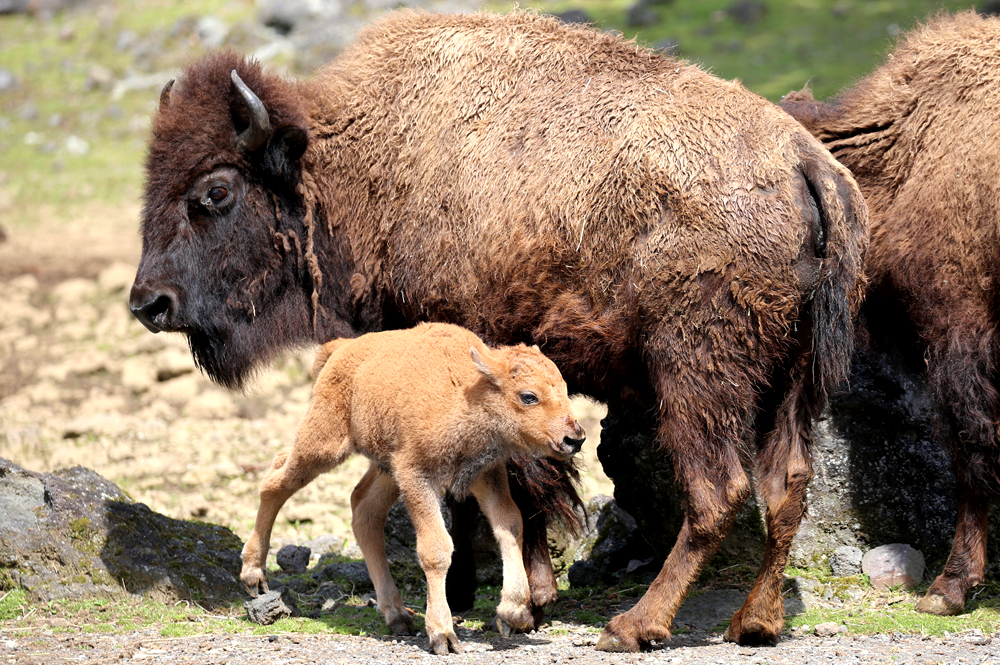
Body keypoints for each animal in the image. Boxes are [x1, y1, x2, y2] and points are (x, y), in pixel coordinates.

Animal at [240, 322, 584, 652]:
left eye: (565, 389)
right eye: (529, 396)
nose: (575, 438)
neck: (465, 391)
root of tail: (341, 348)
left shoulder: (485, 474)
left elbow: (510, 525)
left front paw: (511, 614)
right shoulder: (417, 477)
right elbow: (436, 549)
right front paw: (443, 635)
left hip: (385, 468)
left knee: (363, 509)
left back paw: (398, 616)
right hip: (324, 445)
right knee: (276, 481)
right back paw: (254, 576)